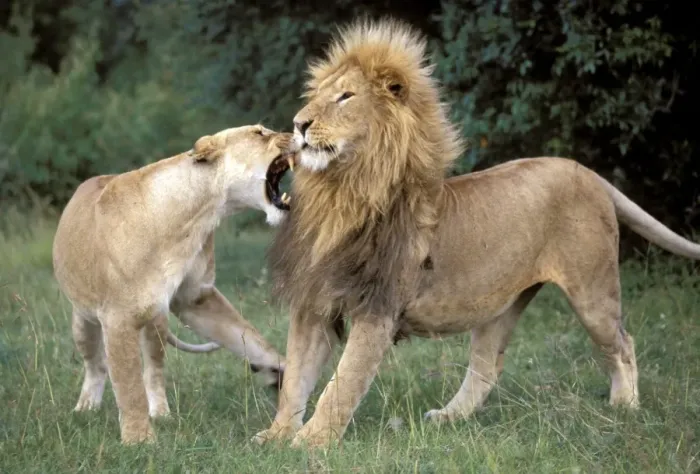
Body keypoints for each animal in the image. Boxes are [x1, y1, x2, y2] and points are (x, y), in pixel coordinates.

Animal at [52, 124, 297, 444]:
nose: (297, 130)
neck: (195, 215)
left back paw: (161, 414)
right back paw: (87, 407)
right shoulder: (117, 318)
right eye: (259, 133)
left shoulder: (195, 298)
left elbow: (247, 335)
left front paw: (279, 369)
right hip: (83, 321)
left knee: (154, 369)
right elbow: (128, 386)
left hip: (156, 319)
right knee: (96, 364)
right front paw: (139, 441)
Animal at [252, 18, 700, 449]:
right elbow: (295, 378)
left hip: (593, 291)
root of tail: (587, 171)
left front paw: (311, 443)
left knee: (623, 344)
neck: (342, 192)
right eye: (316, 96)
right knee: (487, 367)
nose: (299, 124)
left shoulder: (377, 307)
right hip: (499, 305)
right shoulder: (315, 304)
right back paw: (449, 418)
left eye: (345, 97)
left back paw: (626, 406)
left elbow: (342, 383)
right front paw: (275, 437)